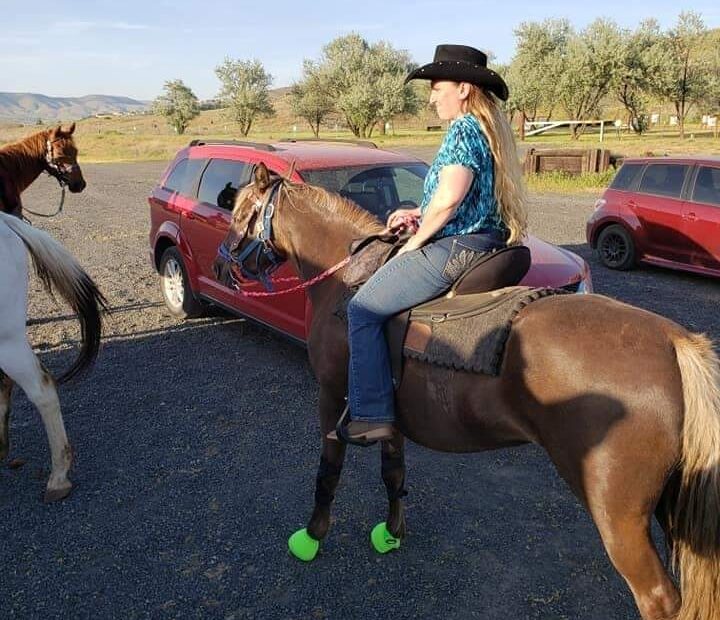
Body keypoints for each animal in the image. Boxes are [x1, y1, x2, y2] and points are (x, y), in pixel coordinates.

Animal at [214, 165, 720, 620]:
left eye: (241, 213)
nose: (220, 263)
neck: (347, 283)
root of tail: (673, 341)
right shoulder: (387, 415)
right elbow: (393, 474)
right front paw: (392, 532)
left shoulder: (332, 398)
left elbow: (328, 473)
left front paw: (313, 535)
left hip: (619, 516)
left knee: (659, 599)